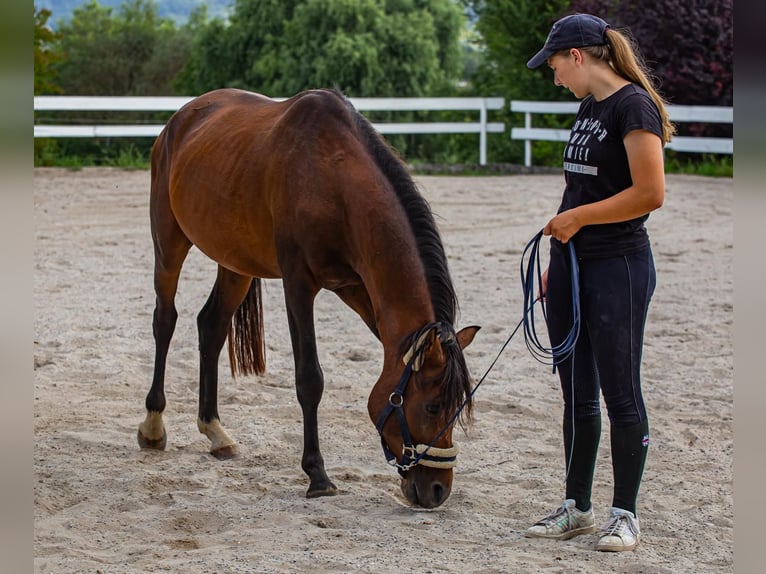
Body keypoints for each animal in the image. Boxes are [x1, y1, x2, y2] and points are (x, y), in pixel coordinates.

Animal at [135, 88, 476, 510]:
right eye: (431, 406)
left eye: (458, 408)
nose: (437, 491)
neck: (334, 180)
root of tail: (182, 117)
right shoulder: (298, 284)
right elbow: (309, 379)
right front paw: (317, 474)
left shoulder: (357, 287)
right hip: (169, 244)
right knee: (165, 321)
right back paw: (152, 425)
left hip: (236, 263)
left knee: (211, 328)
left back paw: (215, 431)